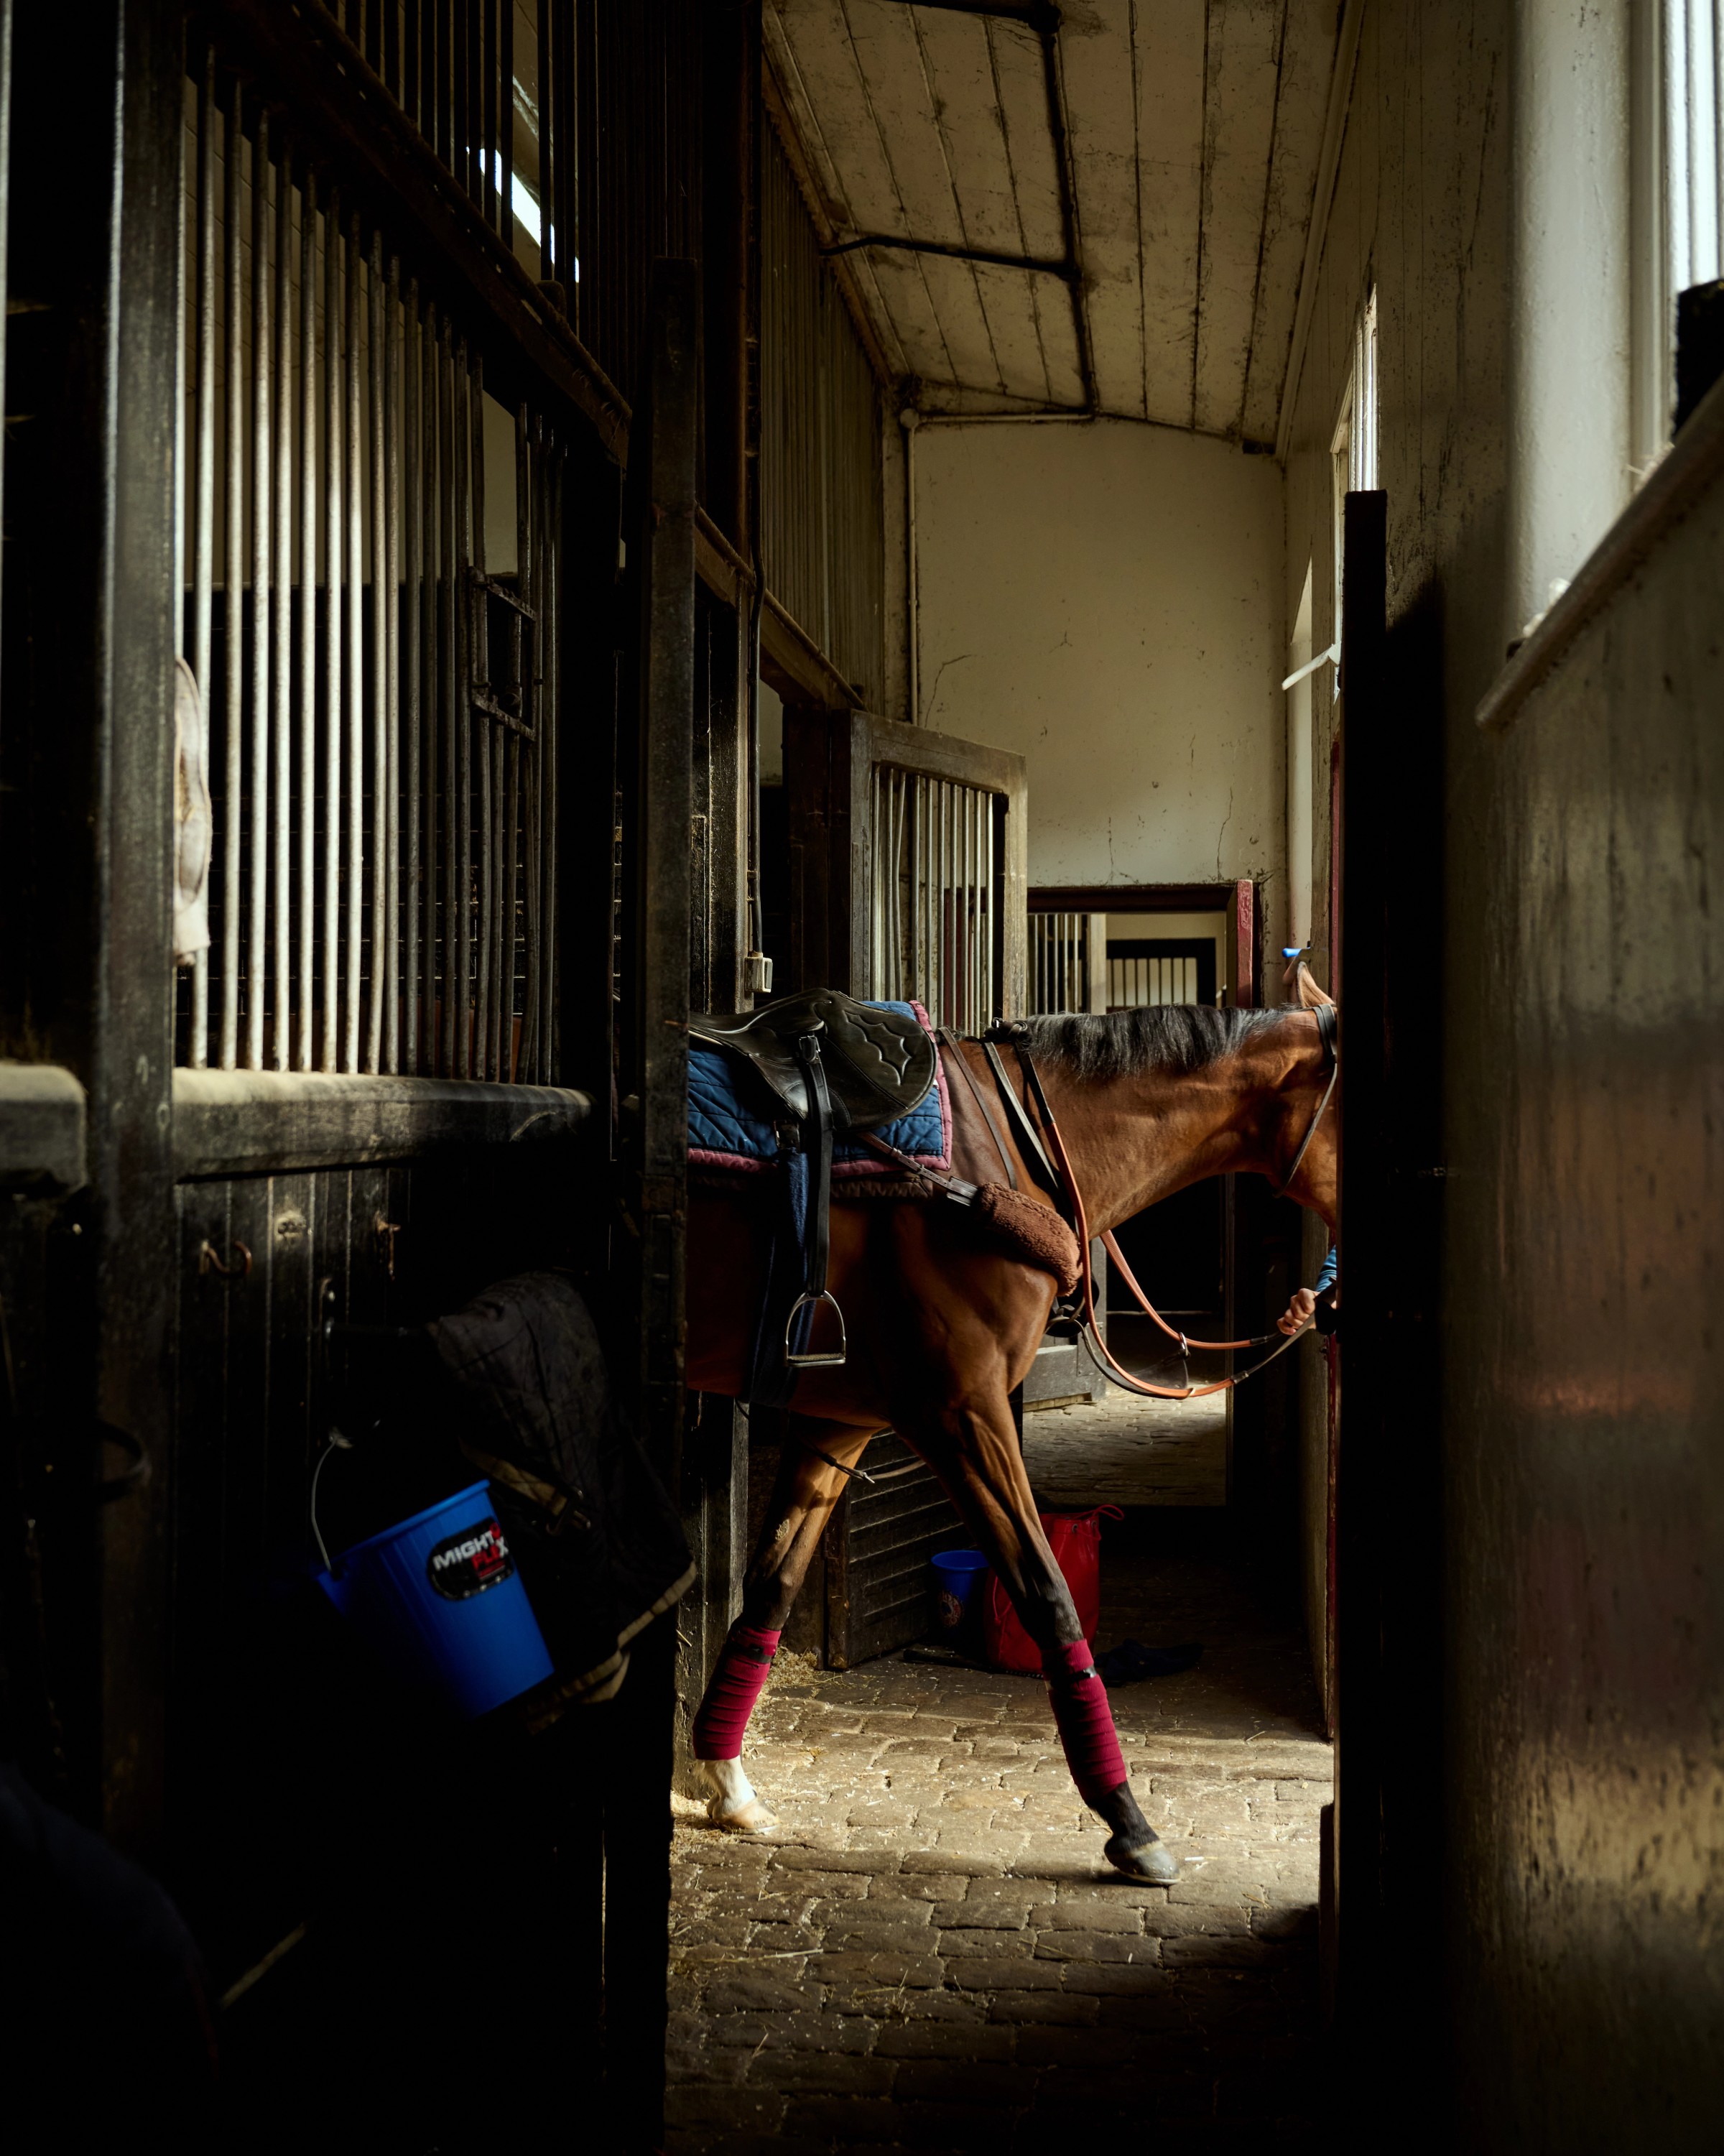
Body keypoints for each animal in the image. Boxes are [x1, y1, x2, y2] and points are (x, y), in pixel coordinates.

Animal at [683, 991, 1338, 1882]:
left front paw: (725, 1778)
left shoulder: (842, 1419)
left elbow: (773, 1583)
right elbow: (1047, 1594)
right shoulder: (963, 1410)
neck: (1011, 1146)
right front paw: (1128, 1818)